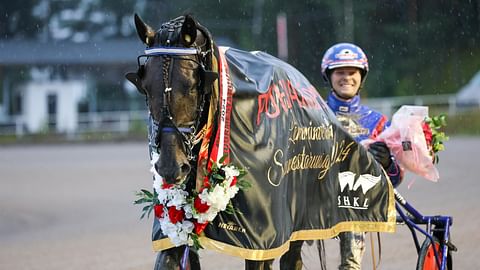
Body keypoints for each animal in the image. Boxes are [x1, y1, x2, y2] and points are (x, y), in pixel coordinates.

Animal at [125, 13, 396, 270]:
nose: (171, 167)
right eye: (146, 87)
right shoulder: (174, 222)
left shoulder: (263, 237)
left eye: (192, 85)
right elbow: (171, 254)